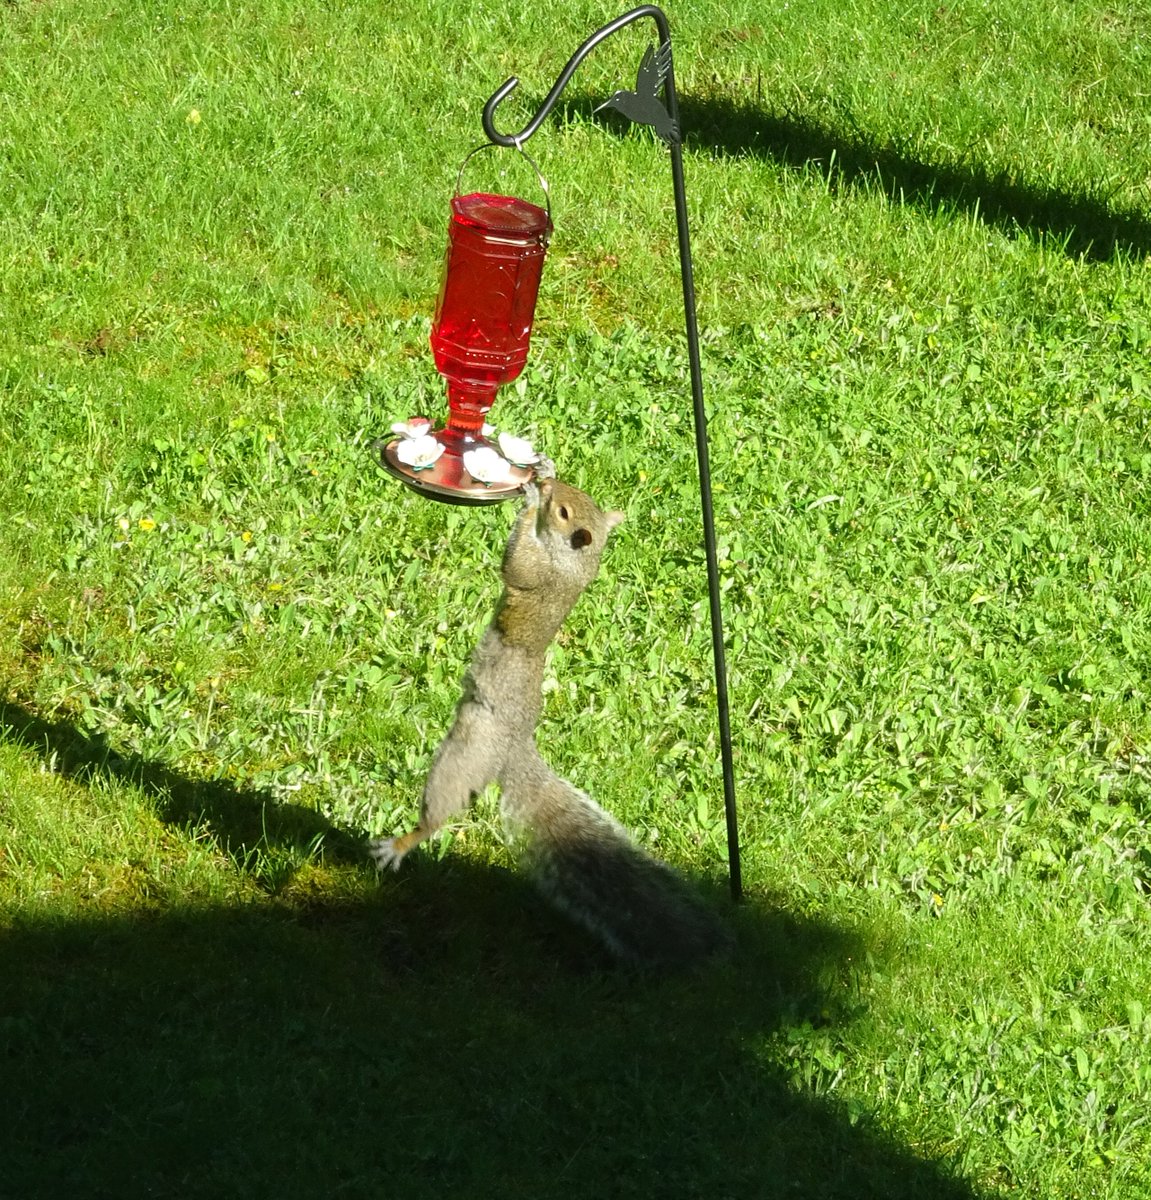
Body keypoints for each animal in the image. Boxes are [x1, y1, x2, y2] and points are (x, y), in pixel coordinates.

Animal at [370, 476, 730, 969]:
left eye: (562, 511)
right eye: (570, 495)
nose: (545, 482)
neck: (573, 564)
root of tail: (515, 748)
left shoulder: (540, 573)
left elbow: (516, 564)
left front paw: (525, 502)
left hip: (466, 753)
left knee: (439, 812)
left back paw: (402, 844)